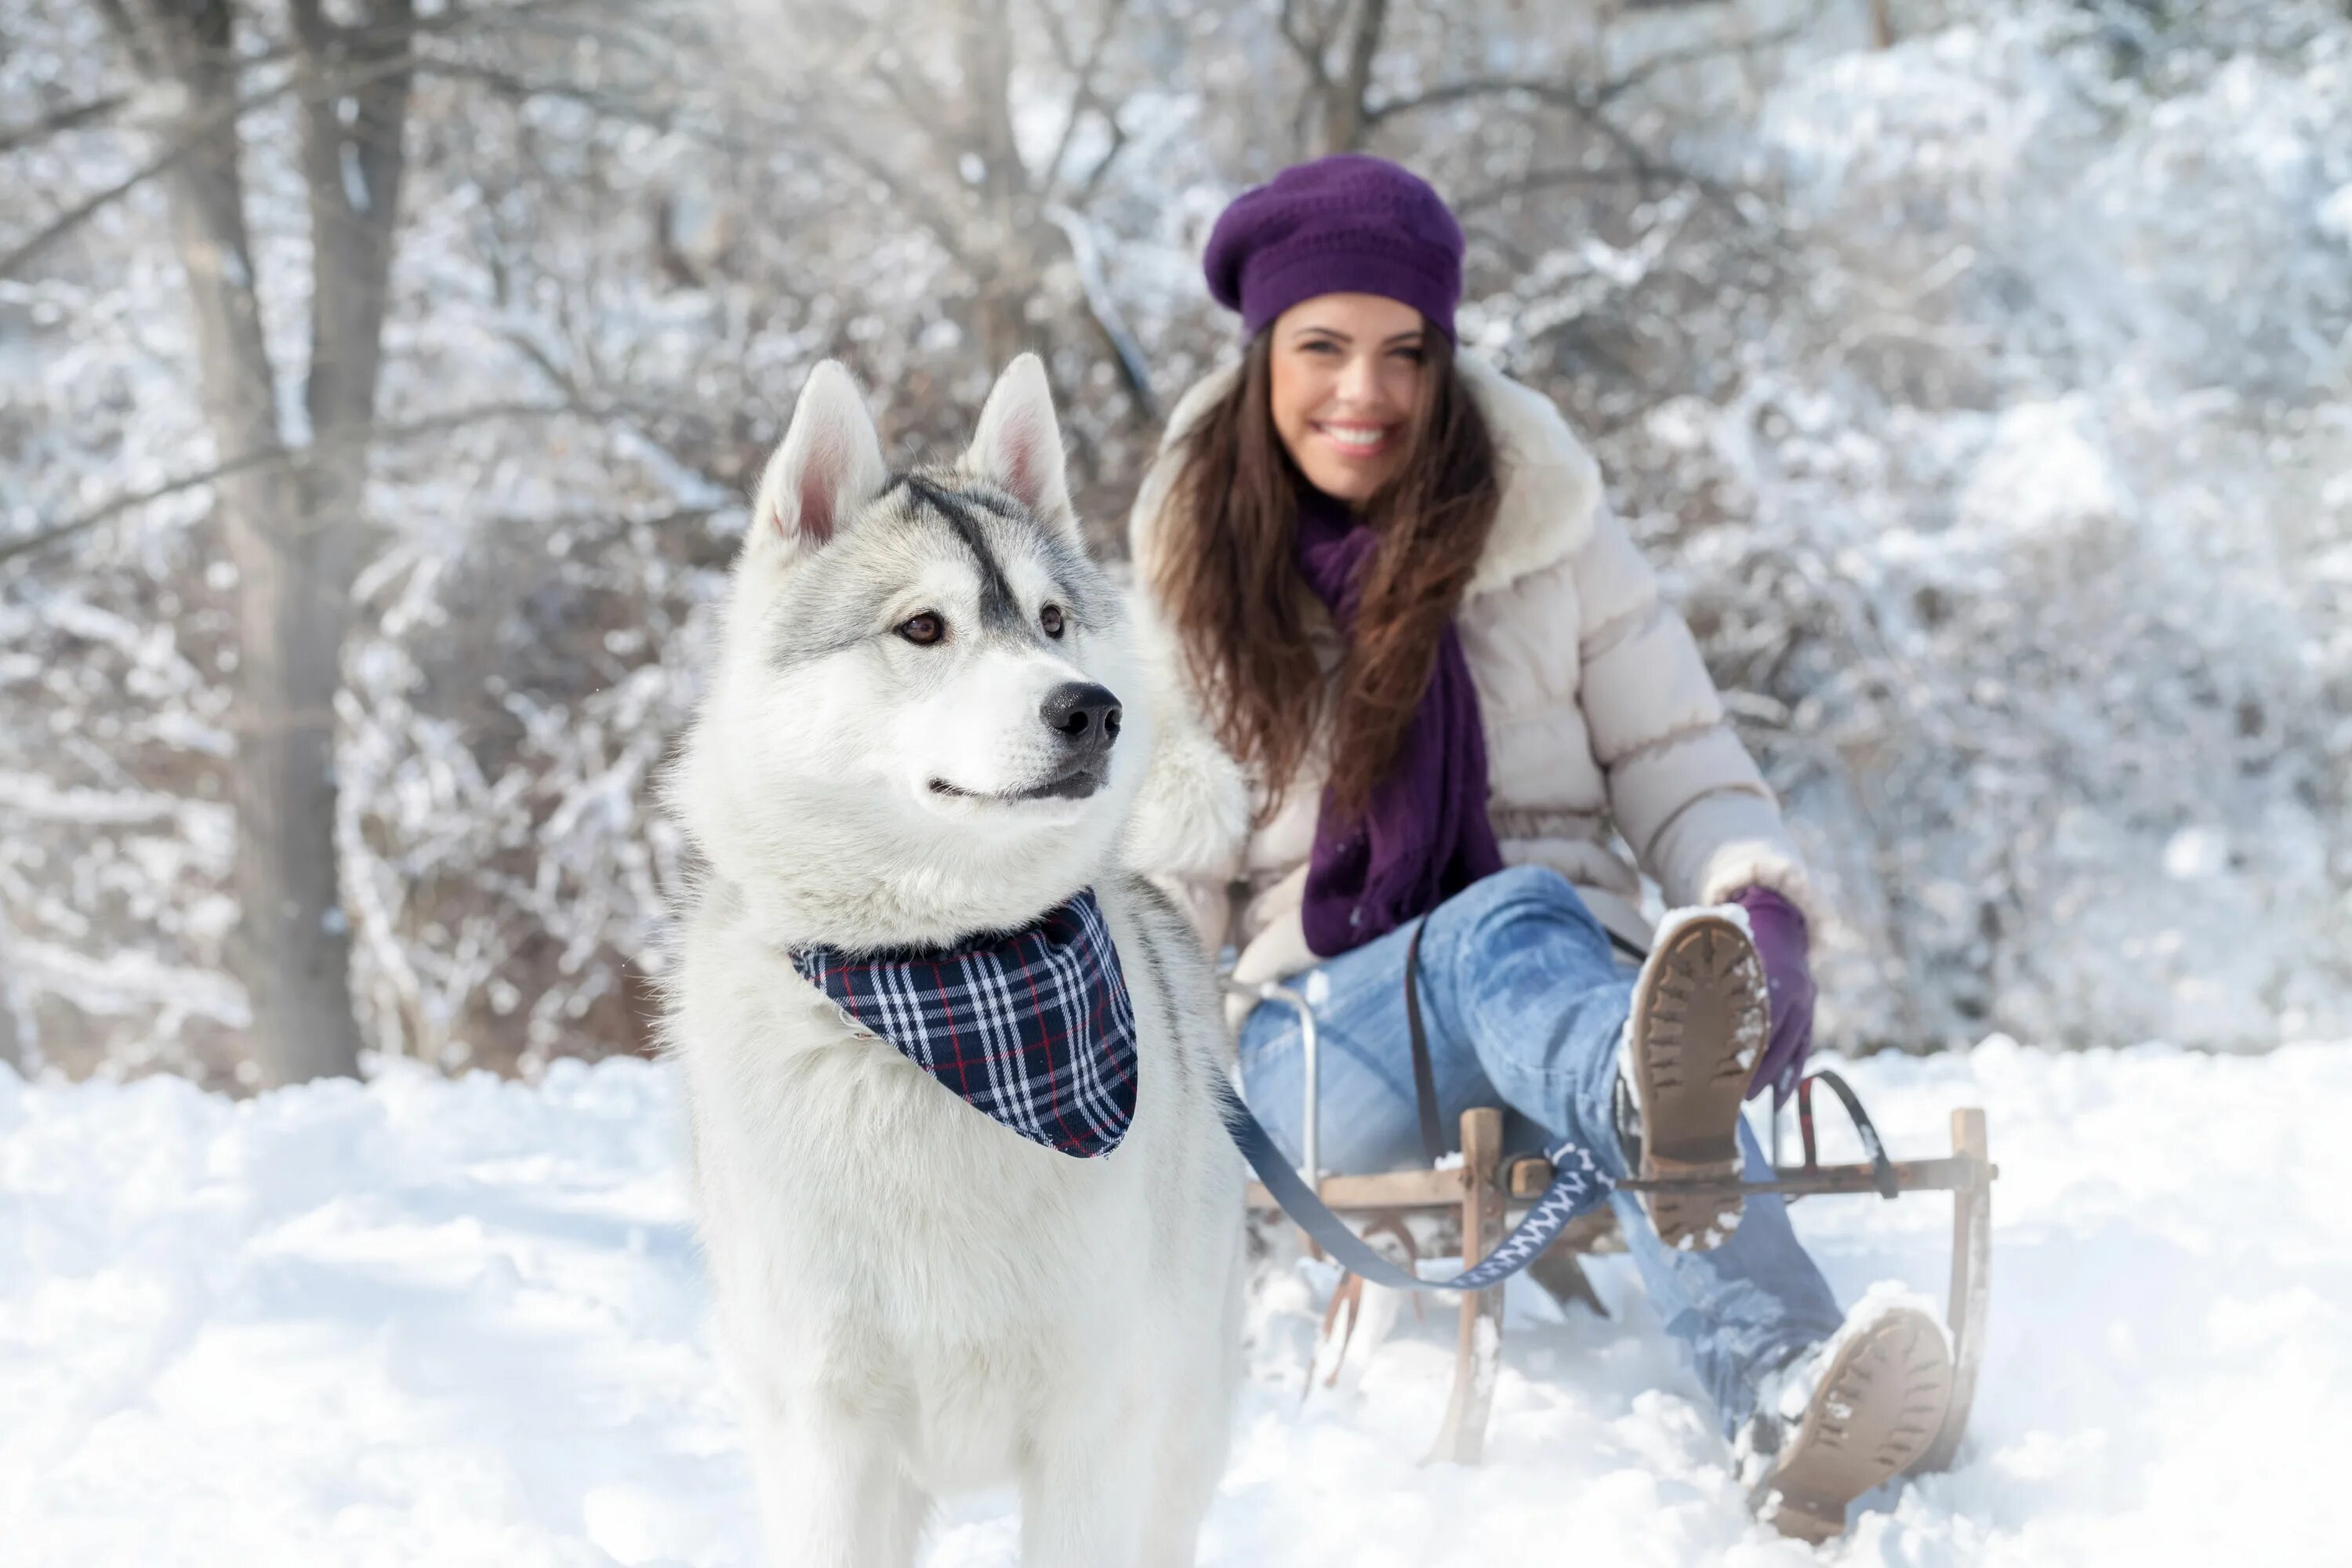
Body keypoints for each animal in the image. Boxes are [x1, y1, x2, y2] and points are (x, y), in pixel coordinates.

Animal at [663, 354, 1251, 1568]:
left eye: (1053, 620)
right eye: (923, 628)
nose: (1093, 710)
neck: (945, 984)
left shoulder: (1094, 1431)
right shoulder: (828, 1438)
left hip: (1181, 1431)